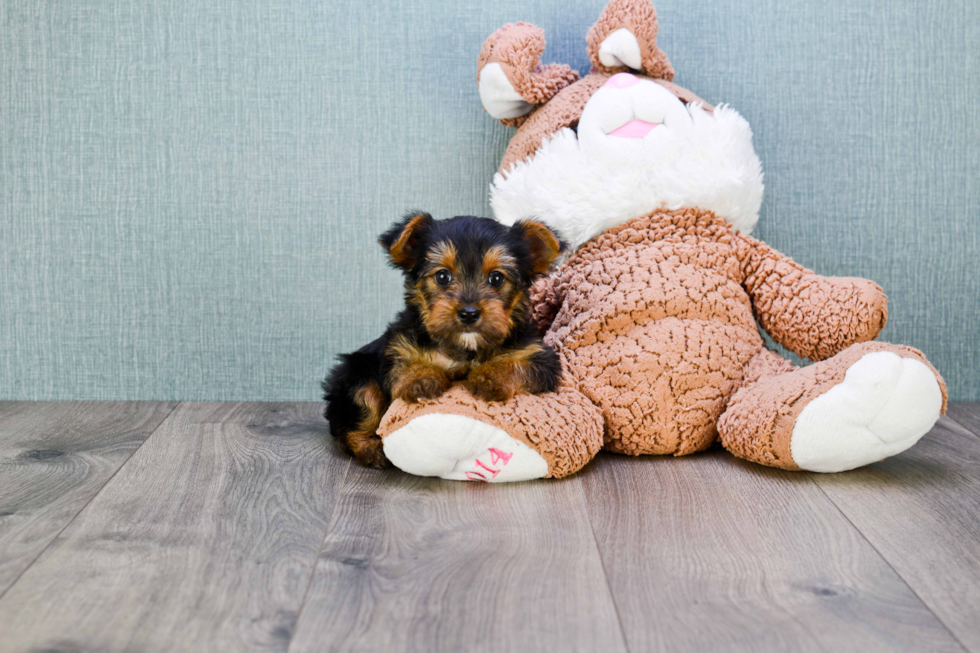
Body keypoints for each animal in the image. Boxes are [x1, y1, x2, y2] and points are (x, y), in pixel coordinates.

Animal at [324, 211, 564, 466]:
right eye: (442, 276)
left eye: (497, 278)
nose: (469, 313)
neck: (465, 346)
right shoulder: (398, 347)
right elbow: (402, 367)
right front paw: (422, 378)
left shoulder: (540, 357)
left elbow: (516, 363)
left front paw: (490, 377)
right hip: (356, 376)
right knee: (355, 416)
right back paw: (370, 448)